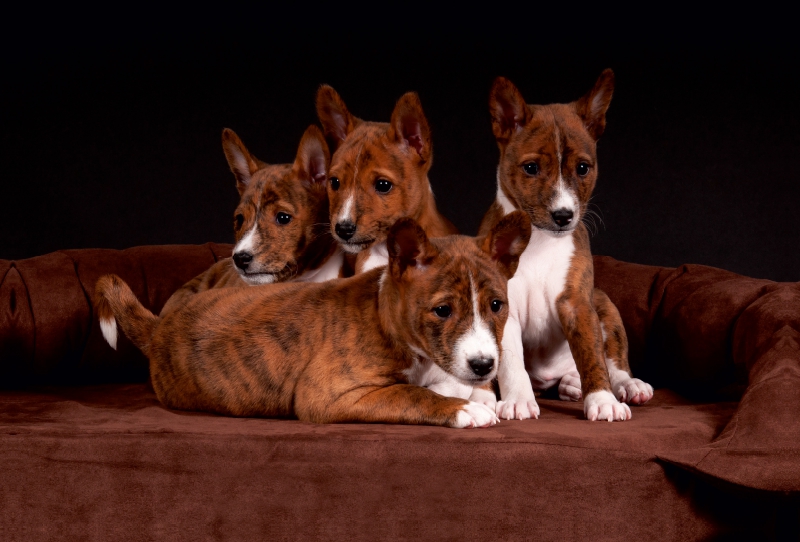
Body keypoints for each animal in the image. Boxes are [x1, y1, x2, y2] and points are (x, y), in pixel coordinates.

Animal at [94, 212, 532, 430]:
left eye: (496, 305)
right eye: (442, 311)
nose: (484, 366)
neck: (384, 317)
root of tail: (160, 327)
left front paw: (477, 393)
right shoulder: (327, 395)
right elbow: (409, 394)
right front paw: (464, 407)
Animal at [478, 70, 652, 422]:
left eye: (582, 168)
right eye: (531, 168)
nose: (563, 216)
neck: (539, 242)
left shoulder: (577, 304)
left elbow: (592, 356)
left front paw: (602, 399)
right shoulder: (504, 310)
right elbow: (511, 363)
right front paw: (518, 400)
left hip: (603, 303)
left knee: (614, 360)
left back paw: (625, 385)